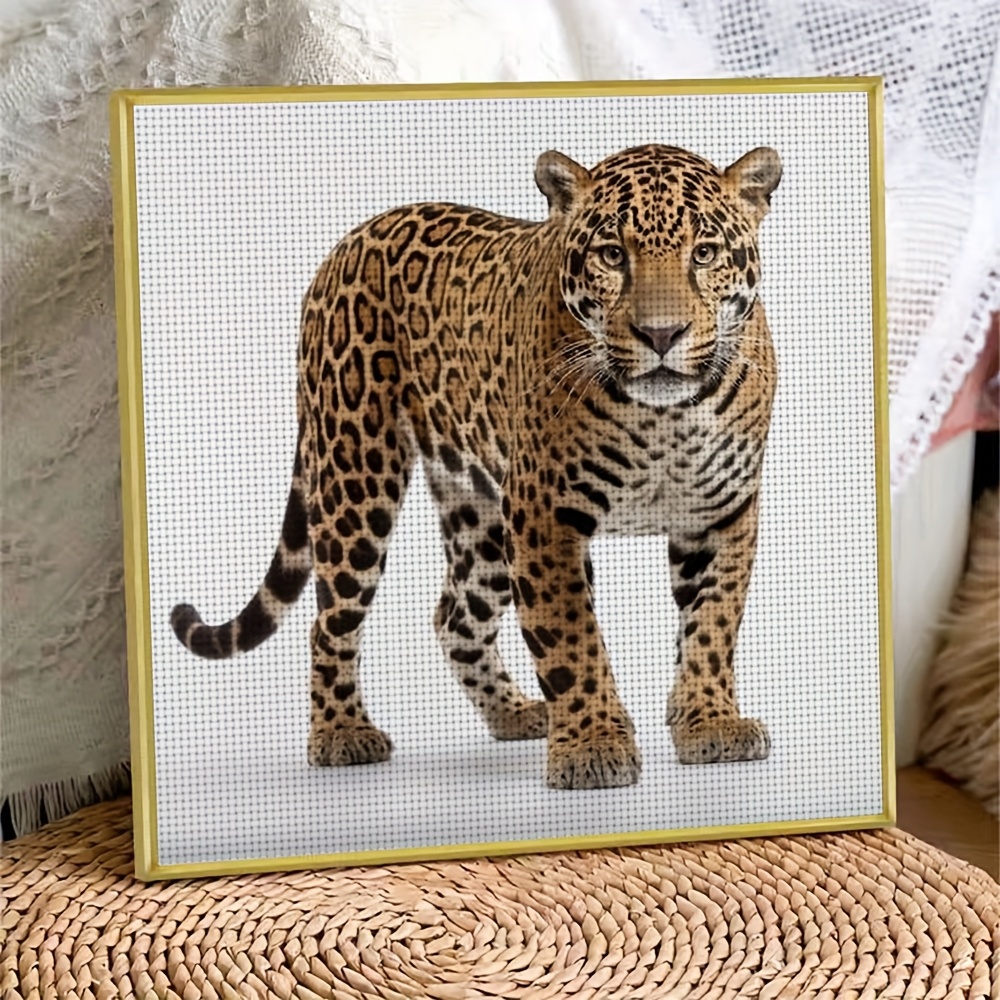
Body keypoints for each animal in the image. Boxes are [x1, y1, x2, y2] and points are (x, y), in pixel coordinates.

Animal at [171, 141, 783, 790]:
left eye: (704, 253)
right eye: (613, 255)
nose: (661, 335)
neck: (665, 419)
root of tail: (351, 239)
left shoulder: (721, 512)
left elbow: (711, 625)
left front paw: (710, 722)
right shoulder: (545, 513)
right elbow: (571, 636)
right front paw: (592, 744)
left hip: (482, 512)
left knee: (454, 617)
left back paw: (514, 713)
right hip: (355, 472)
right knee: (330, 619)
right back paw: (341, 732)